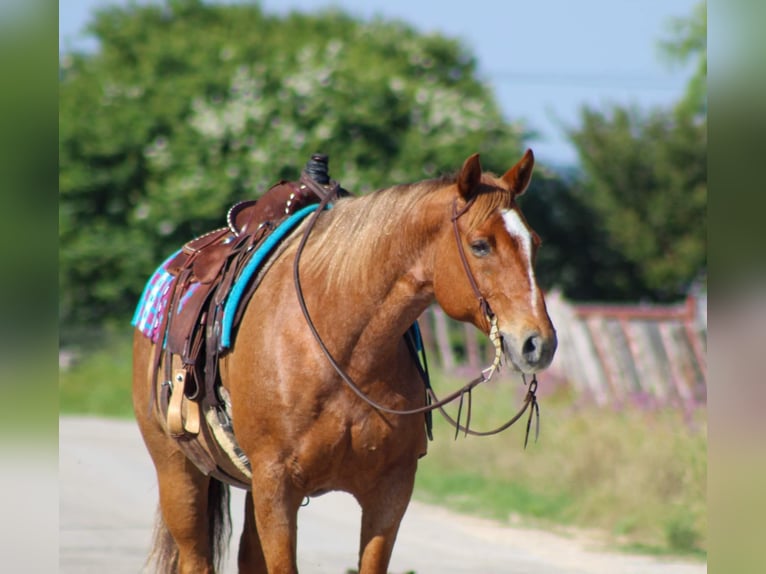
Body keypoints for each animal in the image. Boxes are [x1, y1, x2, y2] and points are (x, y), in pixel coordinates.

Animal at [132, 149, 557, 573]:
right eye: (480, 245)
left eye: (535, 243)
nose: (538, 343)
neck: (340, 352)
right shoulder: (276, 485)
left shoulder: (390, 491)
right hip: (179, 472)